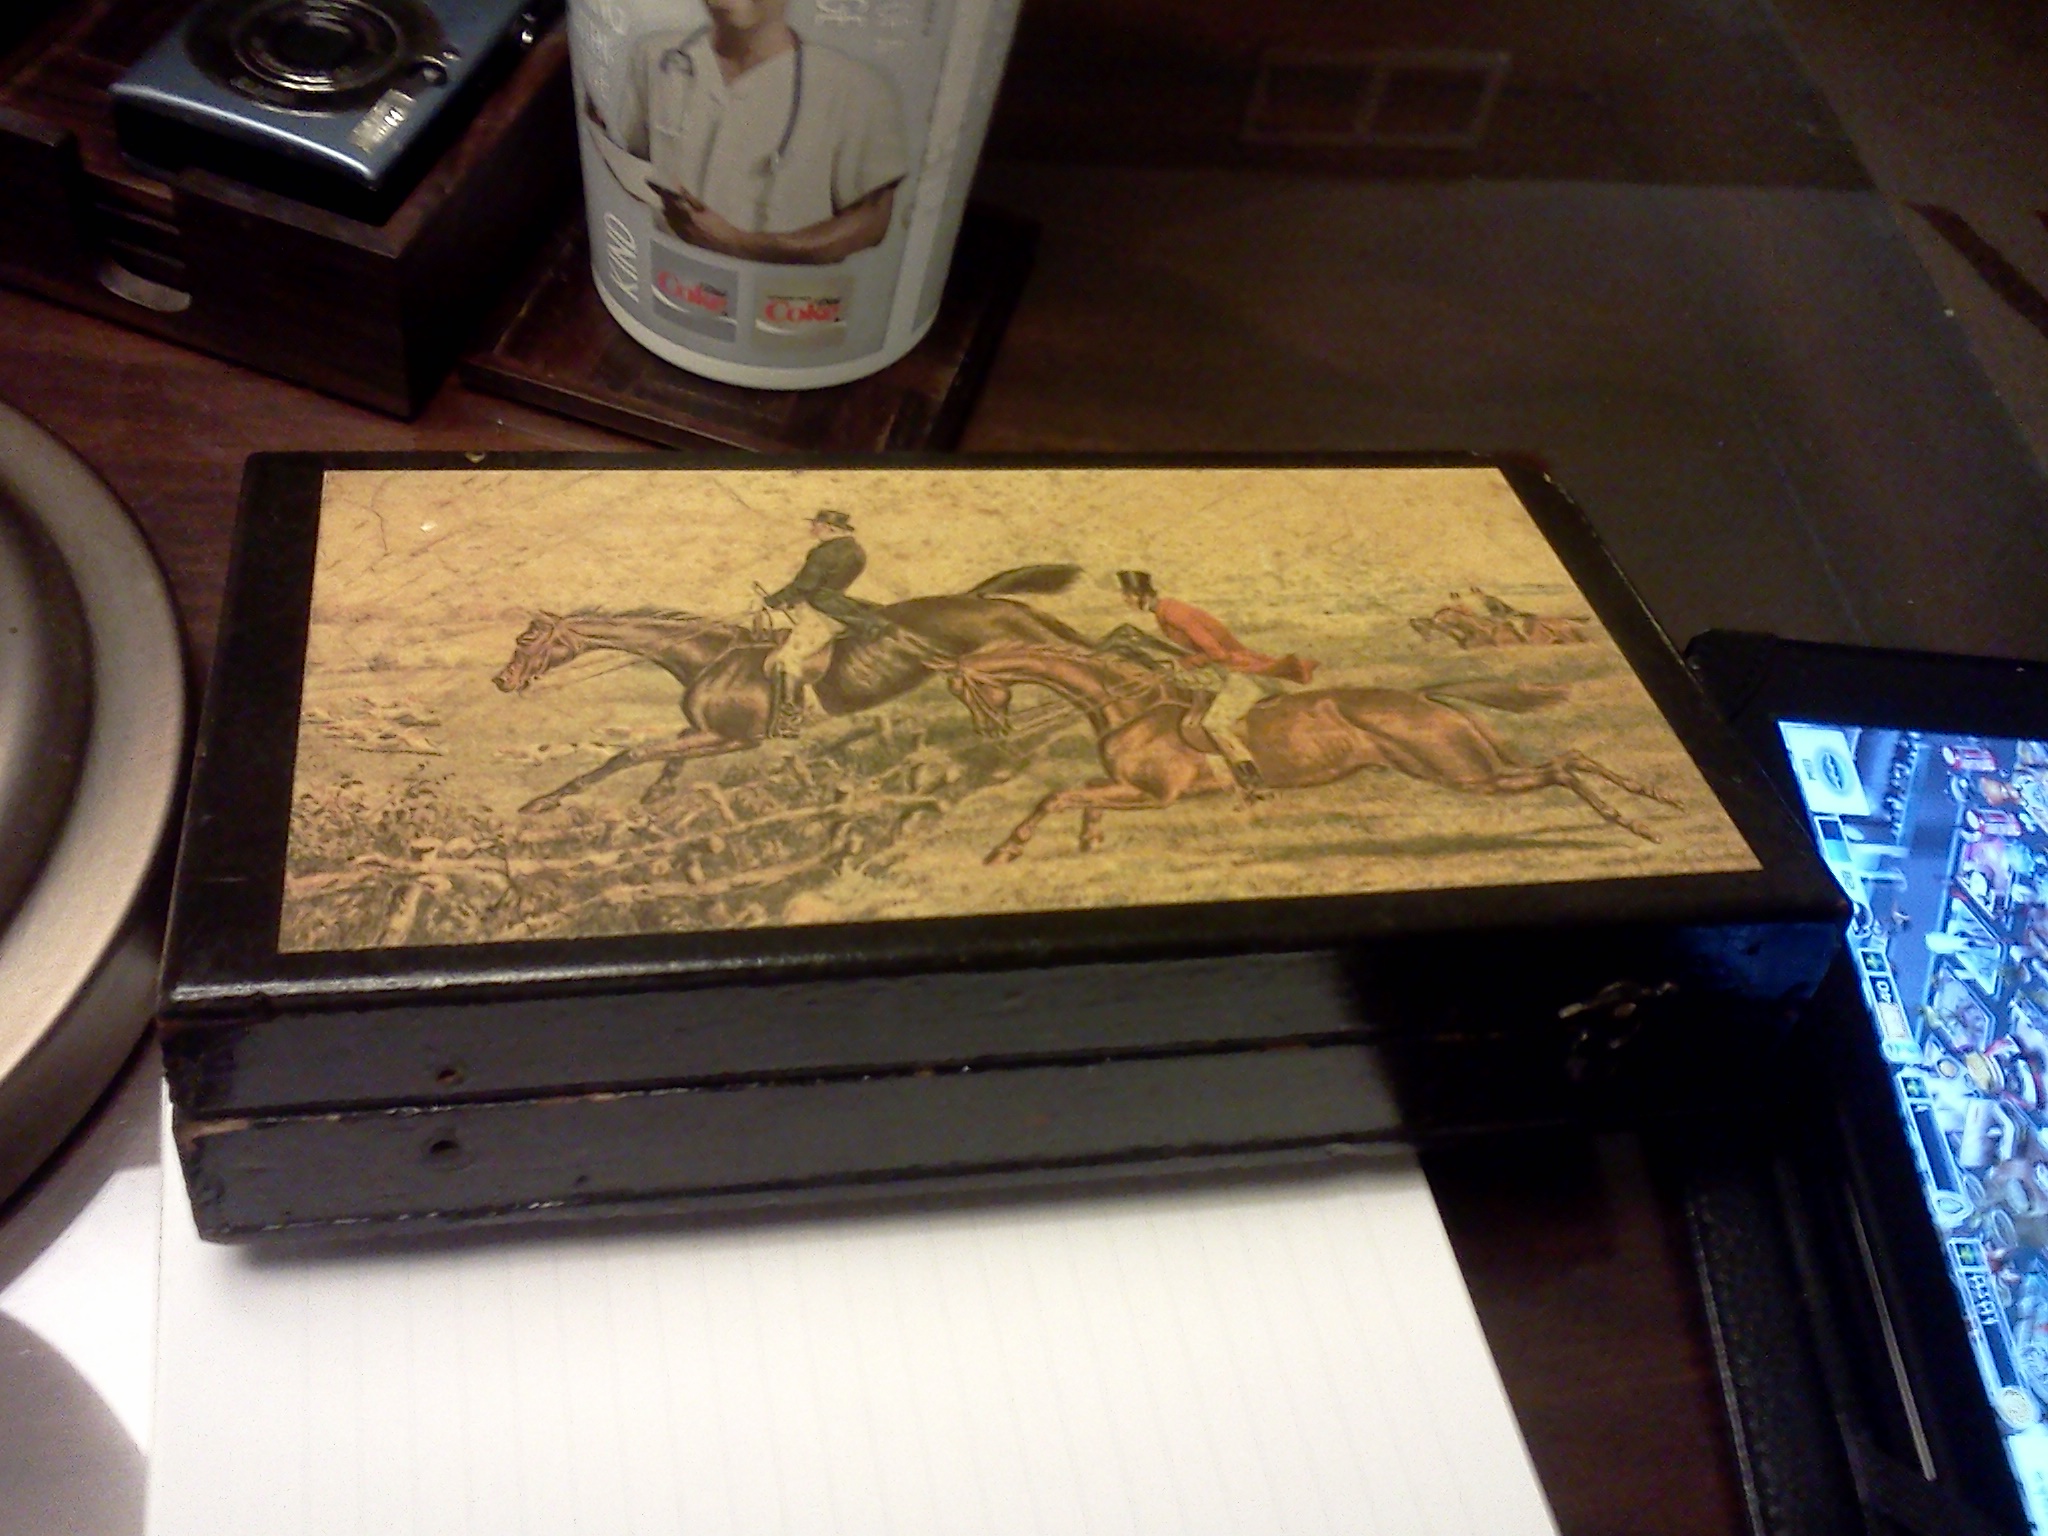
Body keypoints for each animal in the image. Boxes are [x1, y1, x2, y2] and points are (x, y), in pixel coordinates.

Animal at [492, 565, 1087, 812]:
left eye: (527, 638)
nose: (503, 680)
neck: (710, 657)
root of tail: (981, 599)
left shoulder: (733, 740)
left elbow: (631, 754)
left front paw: (543, 803)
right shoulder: (703, 733)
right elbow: (668, 759)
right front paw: (654, 801)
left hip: (1022, 653)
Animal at [944, 642, 1683, 863]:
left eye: (966, 691)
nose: (990, 734)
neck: (1129, 704)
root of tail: (1426, 698)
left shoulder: (1157, 795)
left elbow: (1057, 793)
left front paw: (1006, 850)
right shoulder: (1134, 794)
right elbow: (1077, 797)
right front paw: (1089, 843)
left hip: (1465, 775)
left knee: (1562, 767)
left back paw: (1636, 823)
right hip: (1476, 768)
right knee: (1572, 757)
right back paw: (1655, 803)